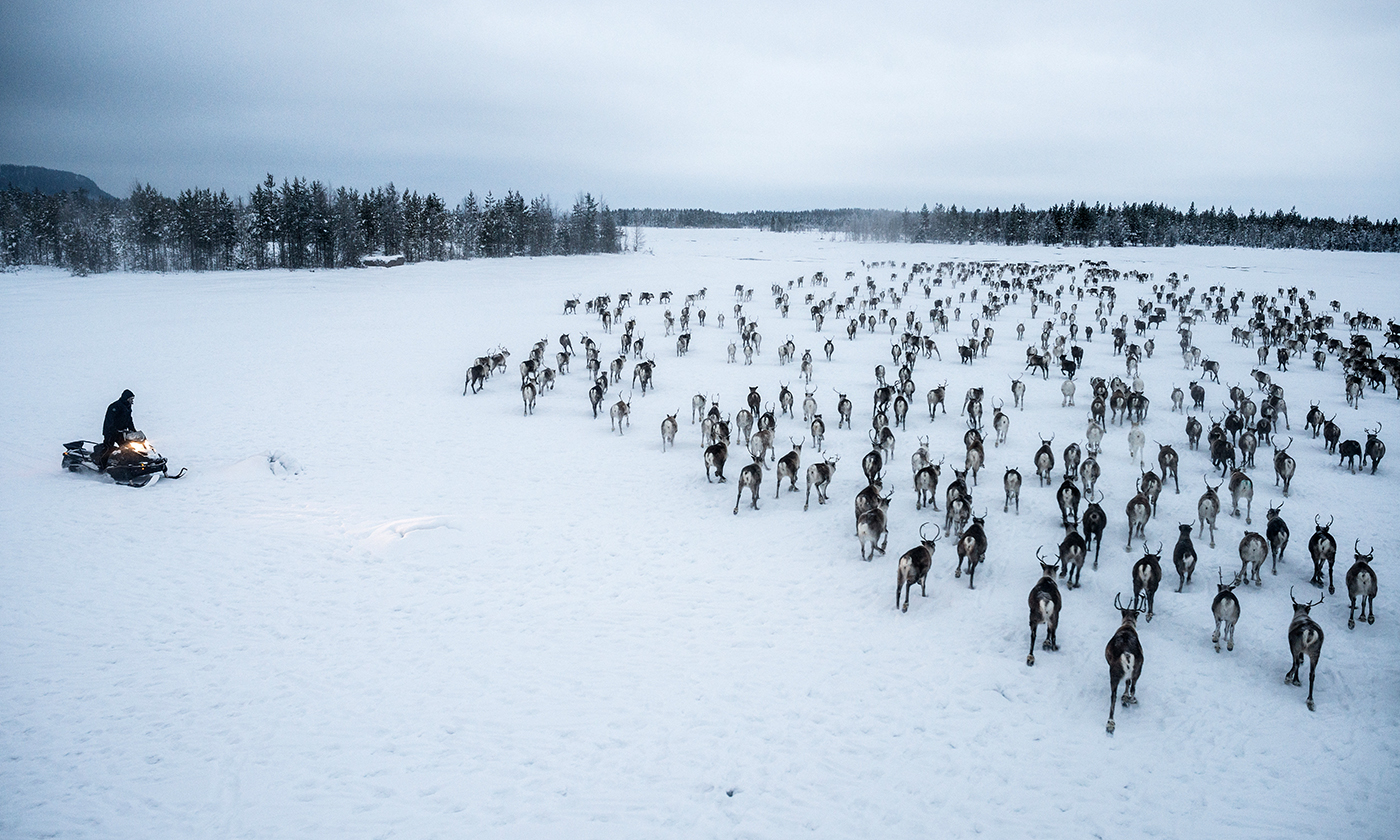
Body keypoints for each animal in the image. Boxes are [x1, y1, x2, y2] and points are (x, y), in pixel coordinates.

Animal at [1105, 594, 1145, 734]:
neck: (1128, 624)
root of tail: (1127, 654)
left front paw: (1125, 697)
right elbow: (1129, 684)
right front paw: (1126, 697)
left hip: (1114, 673)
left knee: (1113, 696)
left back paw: (1110, 723)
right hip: (1138, 669)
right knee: (1133, 687)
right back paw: (1130, 700)